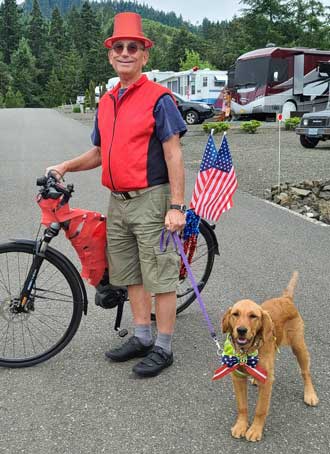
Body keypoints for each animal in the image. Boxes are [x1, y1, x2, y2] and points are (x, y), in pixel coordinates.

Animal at [220, 272, 318, 442]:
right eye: (235, 314)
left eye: (253, 316)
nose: (241, 330)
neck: (247, 352)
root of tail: (285, 298)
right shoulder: (238, 377)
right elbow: (242, 406)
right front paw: (241, 425)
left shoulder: (266, 384)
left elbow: (260, 409)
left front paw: (255, 430)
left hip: (299, 346)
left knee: (306, 372)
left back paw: (310, 394)